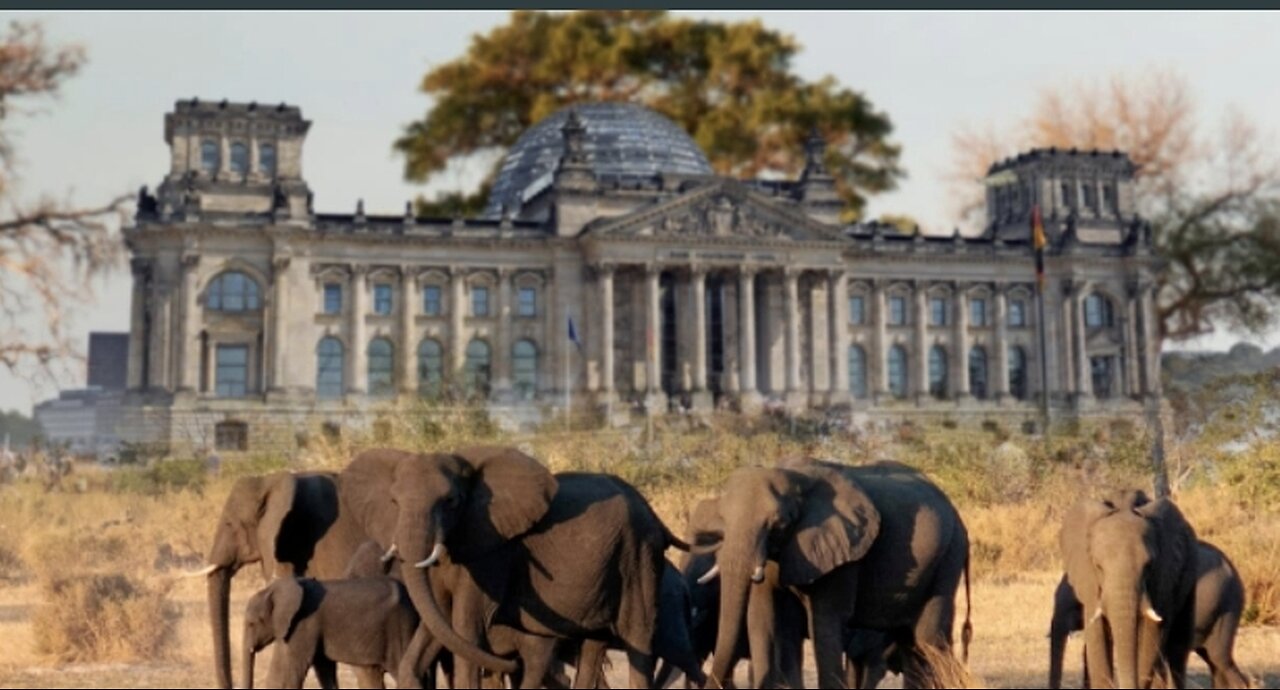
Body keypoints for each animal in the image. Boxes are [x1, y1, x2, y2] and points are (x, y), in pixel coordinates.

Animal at [241, 578, 417, 690]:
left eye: (252, 623)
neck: (274, 588)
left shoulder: (304, 623)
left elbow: (292, 671)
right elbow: (323, 668)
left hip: (400, 628)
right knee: (370, 675)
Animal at [340, 445, 680, 686]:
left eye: (451, 502)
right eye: (394, 502)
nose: (514, 663)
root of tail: (655, 516)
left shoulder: (492, 554)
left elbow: (464, 629)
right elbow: (436, 622)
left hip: (639, 556)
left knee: (638, 638)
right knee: (594, 645)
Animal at [696, 458, 962, 690]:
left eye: (779, 524)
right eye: (722, 520)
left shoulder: (842, 553)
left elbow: (825, 622)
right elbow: (764, 619)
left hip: (949, 556)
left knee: (929, 638)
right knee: (911, 641)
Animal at [1054, 491, 1192, 690]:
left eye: (1149, 566)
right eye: (1098, 566)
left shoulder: (1162, 578)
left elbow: (1151, 636)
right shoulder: (1089, 582)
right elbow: (1097, 636)